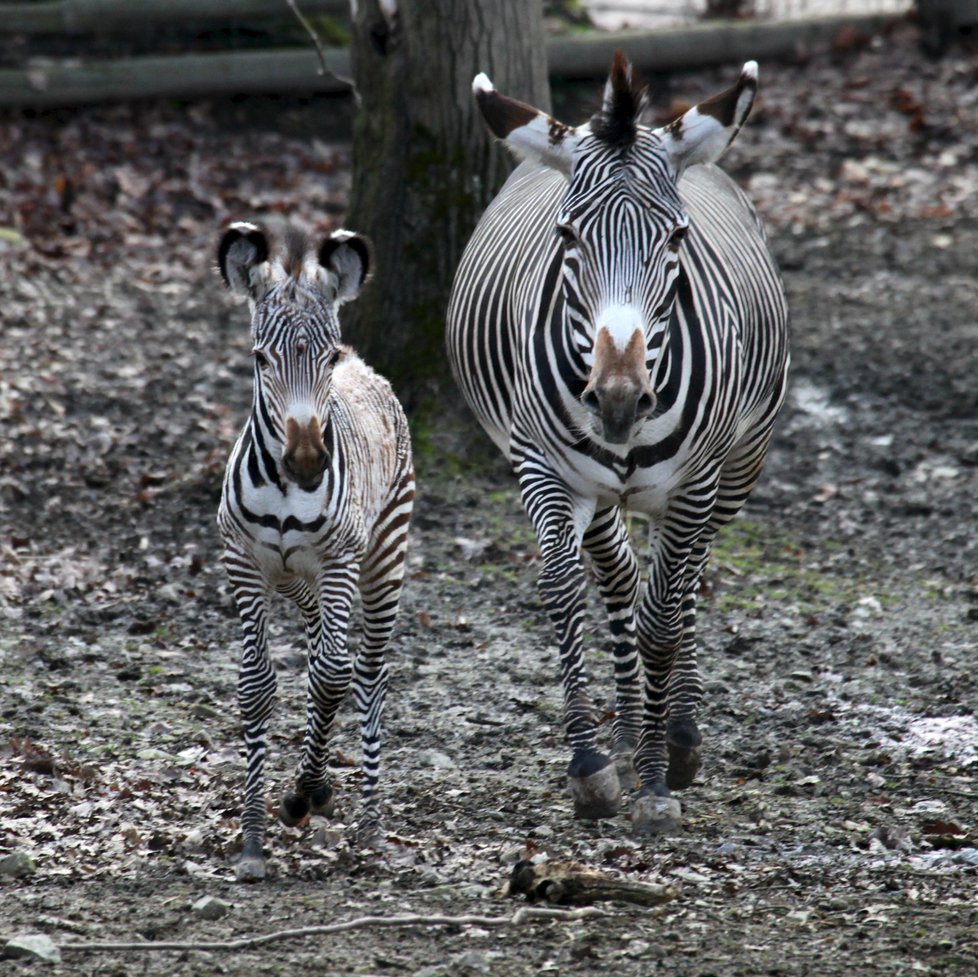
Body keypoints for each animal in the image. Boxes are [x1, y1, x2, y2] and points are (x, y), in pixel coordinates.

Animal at [215, 221, 414, 876]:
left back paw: (371, 826)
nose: (305, 462)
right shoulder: (245, 565)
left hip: (382, 555)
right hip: (300, 577)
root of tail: (364, 365)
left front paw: (305, 793)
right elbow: (258, 685)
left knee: (367, 668)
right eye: (259, 358)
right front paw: (253, 841)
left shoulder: (340, 562)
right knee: (324, 644)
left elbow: (330, 674)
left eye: (323, 358)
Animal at [446, 53, 788, 832]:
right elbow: (564, 592)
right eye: (568, 238)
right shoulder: (541, 468)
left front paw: (659, 780)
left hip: (735, 468)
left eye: (676, 239)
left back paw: (677, 734)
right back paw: (632, 728)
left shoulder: (695, 483)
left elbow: (664, 614)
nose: (619, 400)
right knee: (622, 572)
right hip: (598, 492)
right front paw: (594, 767)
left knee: (684, 581)